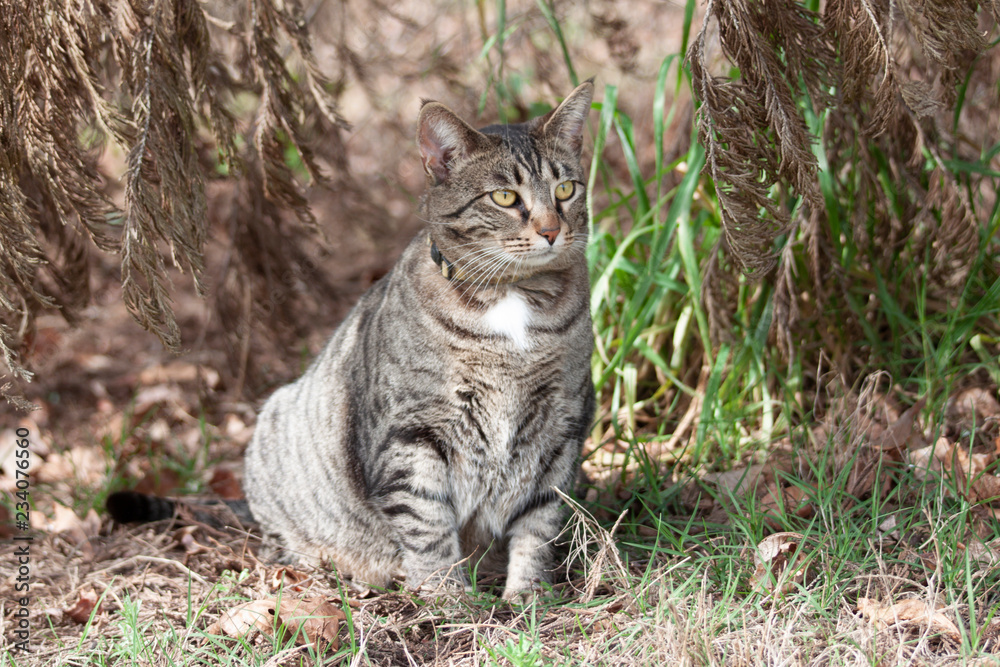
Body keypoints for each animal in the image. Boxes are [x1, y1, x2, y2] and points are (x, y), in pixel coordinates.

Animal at [112, 81, 592, 604]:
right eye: (505, 197)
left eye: (565, 189)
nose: (551, 230)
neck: (512, 303)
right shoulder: (412, 434)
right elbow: (428, 525)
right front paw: (447, 600)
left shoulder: (562, 429)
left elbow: (538, 523)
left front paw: (529, 599)